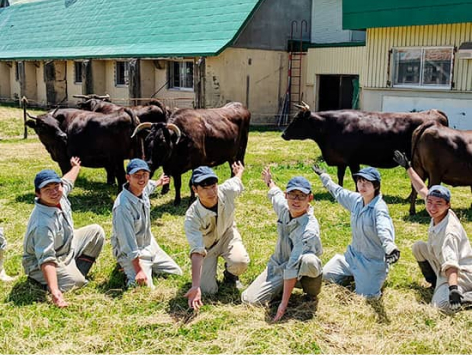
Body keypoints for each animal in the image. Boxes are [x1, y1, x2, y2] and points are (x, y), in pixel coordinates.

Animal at [282, 103, 448, 186]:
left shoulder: (353, 160)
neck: (331, 126)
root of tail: (434, 111)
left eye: (297, 120)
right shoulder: (341, 160)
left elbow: (356, 177)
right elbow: (340, 176)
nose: (283, 134)